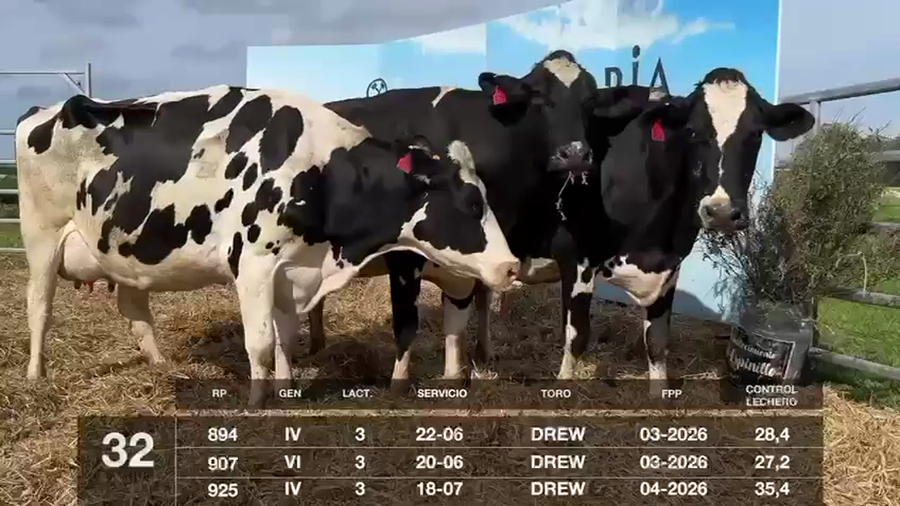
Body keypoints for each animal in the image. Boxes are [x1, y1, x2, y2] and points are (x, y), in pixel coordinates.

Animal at [15, 84, 520, 406]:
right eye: (471, 202)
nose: (512, 265)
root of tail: (44, 110)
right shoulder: (254, 264)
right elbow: (259, 342)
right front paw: (259, 402)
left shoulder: (291, 271)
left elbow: (285, 337)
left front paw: (286, 387)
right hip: (42, 236)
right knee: (39, 306)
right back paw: (35, 375)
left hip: (124, 251)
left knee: (135, 307)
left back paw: (159, 364)